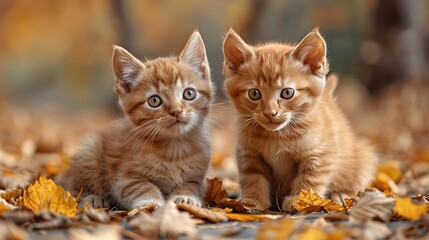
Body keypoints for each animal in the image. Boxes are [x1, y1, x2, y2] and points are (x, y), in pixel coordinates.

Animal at [62, 31, 213, 209]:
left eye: (189, 93)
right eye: (154, 101)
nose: (176, 111)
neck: (174, 149)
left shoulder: (198, 177)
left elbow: (192, 185)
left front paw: (185, 197)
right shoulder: (124, 179)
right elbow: (142, 186)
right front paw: (151, 202)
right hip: (90, 152)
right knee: (74, 188)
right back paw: (93, 198)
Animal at [222, 28, 376, 212]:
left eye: (287, 93)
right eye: (254, 94)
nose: (270, 113)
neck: (276, 136)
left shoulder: (321, 155)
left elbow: (310, 179)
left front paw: (300, 200)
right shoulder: (248, 154)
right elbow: (252, 178)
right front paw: (252, 200)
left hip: (364, 158)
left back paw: (341, 198)